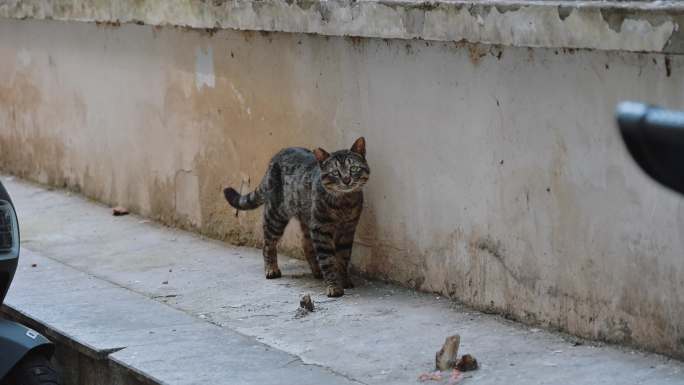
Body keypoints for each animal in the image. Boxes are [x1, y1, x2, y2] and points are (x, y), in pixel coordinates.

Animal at [223, 138, 368, 296]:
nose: (347, 180)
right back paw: (271, 268)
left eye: (353, 168)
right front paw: (334, 285)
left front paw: (344, 279)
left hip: (306, 218)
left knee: (305, 244)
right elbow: (328, 260)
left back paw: (316, 271)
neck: (344, 203)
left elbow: (343, 257)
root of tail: (276, 156)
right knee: (268, 243)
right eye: (335, 172)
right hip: (276, 215)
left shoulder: (348, 230)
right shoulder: (321, 229)